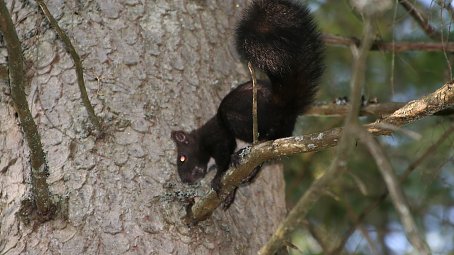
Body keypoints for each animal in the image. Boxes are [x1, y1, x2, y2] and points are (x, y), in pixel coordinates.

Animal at [169, 0, 322, 199]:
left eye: (182, 158)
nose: (186, 180)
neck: (201, 138)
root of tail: (284, 104)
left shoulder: (218, 137)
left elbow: (224, 158)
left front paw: (217, 178)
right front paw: (230, 196)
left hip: (242, 117)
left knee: (260, 138)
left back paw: (244, 152)